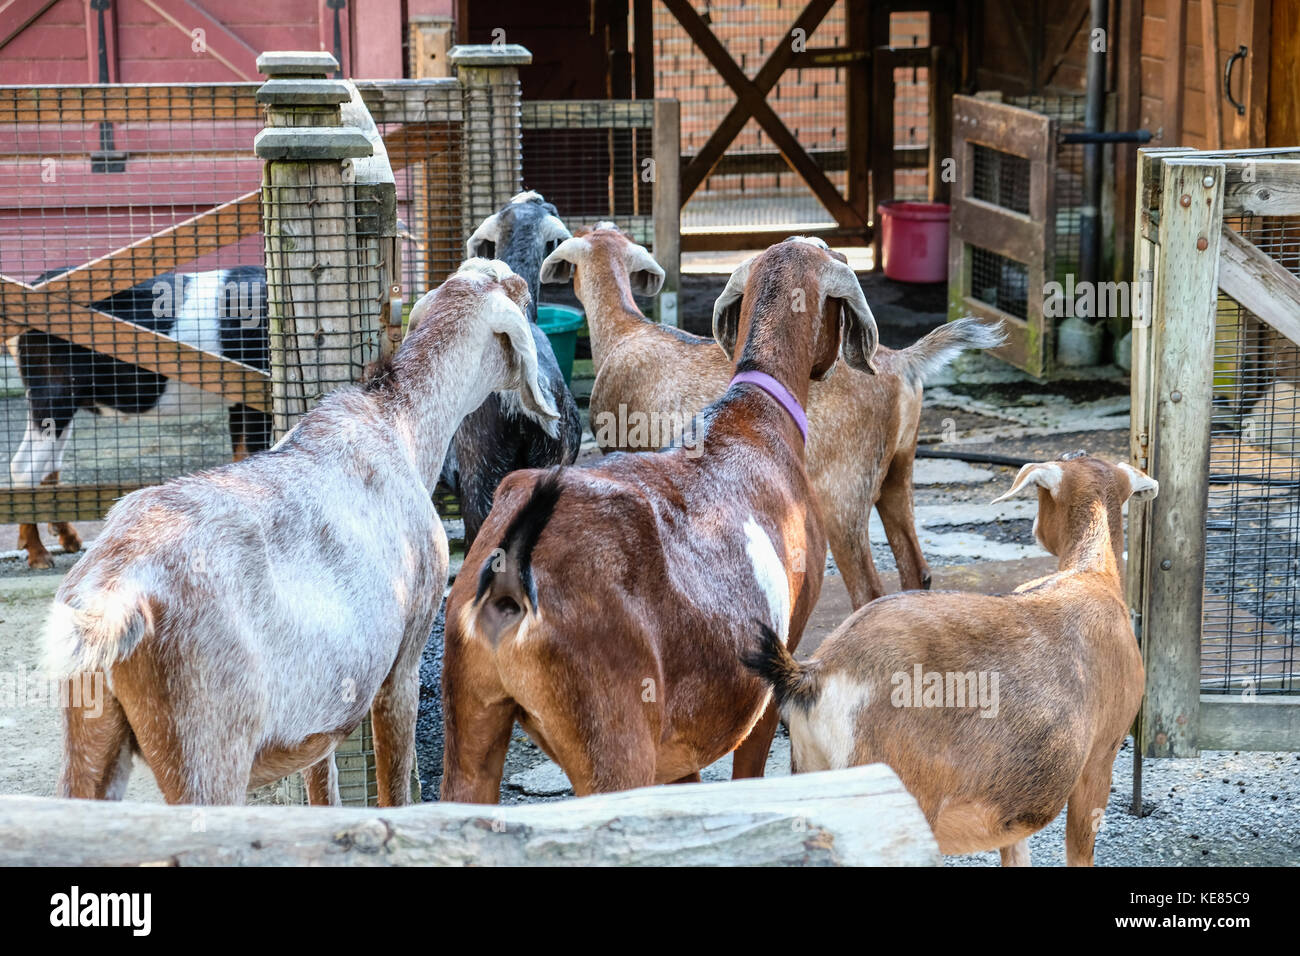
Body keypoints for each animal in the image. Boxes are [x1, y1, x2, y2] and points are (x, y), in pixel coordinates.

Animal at [3, 267, 269, 567]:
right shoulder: (258, 390)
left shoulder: (241, 397)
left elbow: (240, 456)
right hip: (52, 392)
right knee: (24, 467)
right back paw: (40, 556)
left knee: (50, 463)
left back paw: (70, 541)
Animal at [538, 223, 1003, 606]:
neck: (626, 331)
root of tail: (903, 363)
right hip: (897, 471)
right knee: (916, 571)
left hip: (842, 494)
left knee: (869, 590)